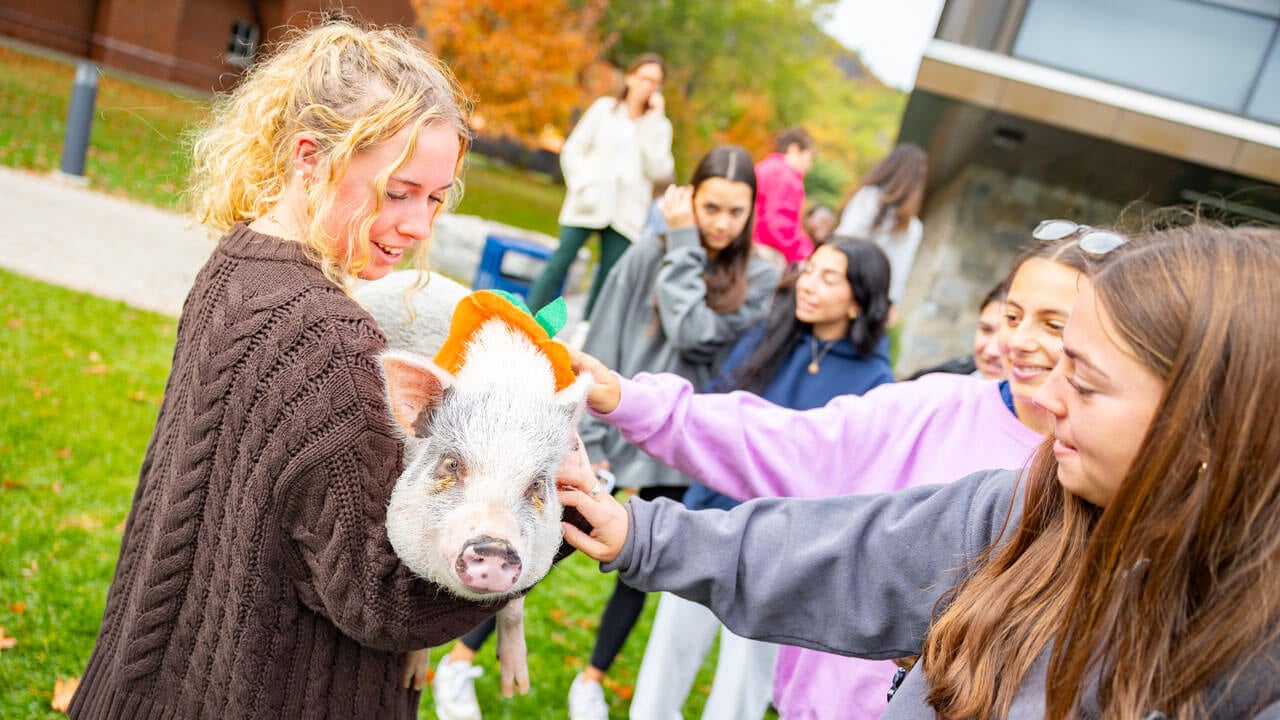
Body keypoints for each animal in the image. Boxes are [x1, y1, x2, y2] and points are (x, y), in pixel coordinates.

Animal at [354, 270, 591, 697]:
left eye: (537, 484)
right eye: (452, 463)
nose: (494, 547)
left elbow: (515, 605)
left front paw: (516, 687)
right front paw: (414, 682)